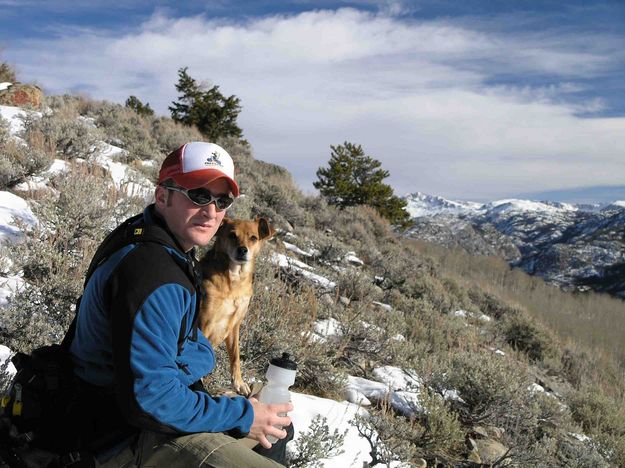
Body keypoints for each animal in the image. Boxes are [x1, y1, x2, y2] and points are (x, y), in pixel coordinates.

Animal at [196, 218, 272, 394]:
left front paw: (239, 383)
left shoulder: (234, 325)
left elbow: (235, 356)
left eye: (253, 238)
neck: (234, 281)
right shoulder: (204, 322)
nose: (242, 250)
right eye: (232, 235)